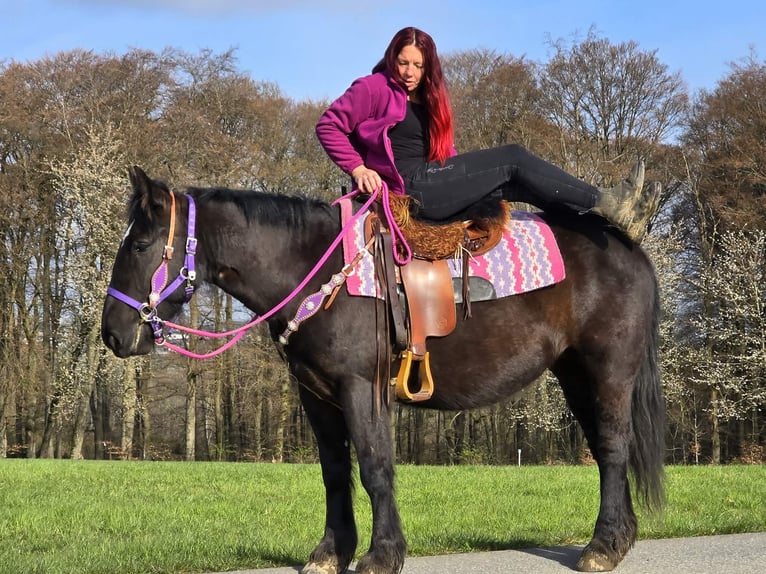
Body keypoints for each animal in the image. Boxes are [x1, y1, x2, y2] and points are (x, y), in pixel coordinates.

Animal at [101, 166, 665, 573]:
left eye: (139, 245)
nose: (112, 335)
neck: (318, 269)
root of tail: (628, 247)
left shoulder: (360, 388)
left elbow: (374, 466)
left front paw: (382, 554)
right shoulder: (316, 394)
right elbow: (334, 473)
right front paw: (330, 553)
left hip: (609, 370)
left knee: (612, 448)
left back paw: (603, 547)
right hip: (574, 375)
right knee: (606, 450)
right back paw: (619, 538)